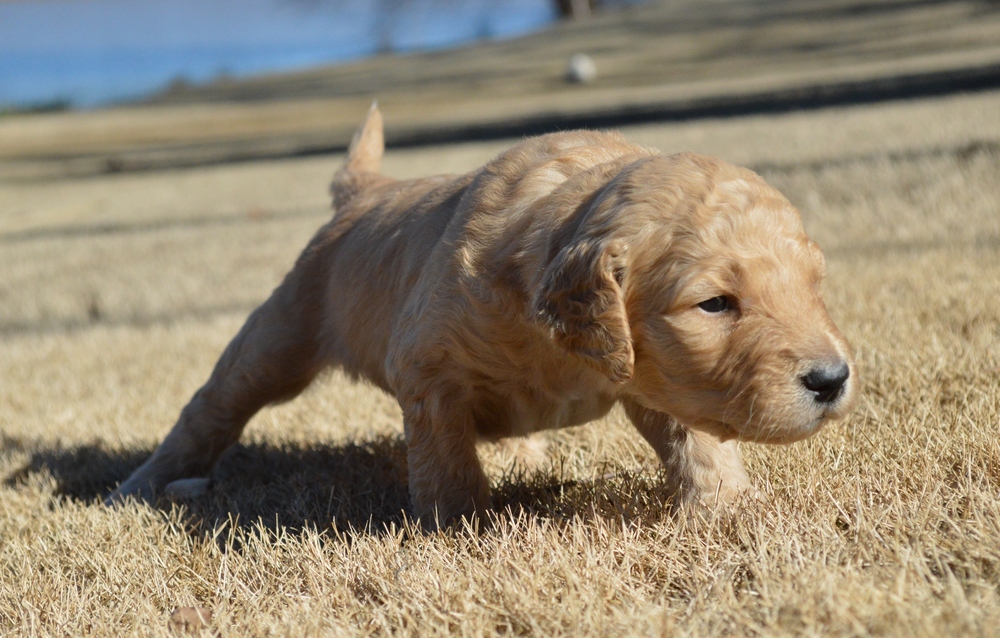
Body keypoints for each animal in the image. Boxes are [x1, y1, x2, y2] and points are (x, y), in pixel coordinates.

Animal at [109, 107, 860, 528]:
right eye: (715, 304)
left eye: (813, 284)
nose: (831, 379)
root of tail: (365, 193)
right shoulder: (427, 367)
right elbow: (447, 457)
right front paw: (457, 525)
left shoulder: (659, 375)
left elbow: (696, 440)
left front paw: (725, 508)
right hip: (278, 335)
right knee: (211, 410)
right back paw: (138, 487)